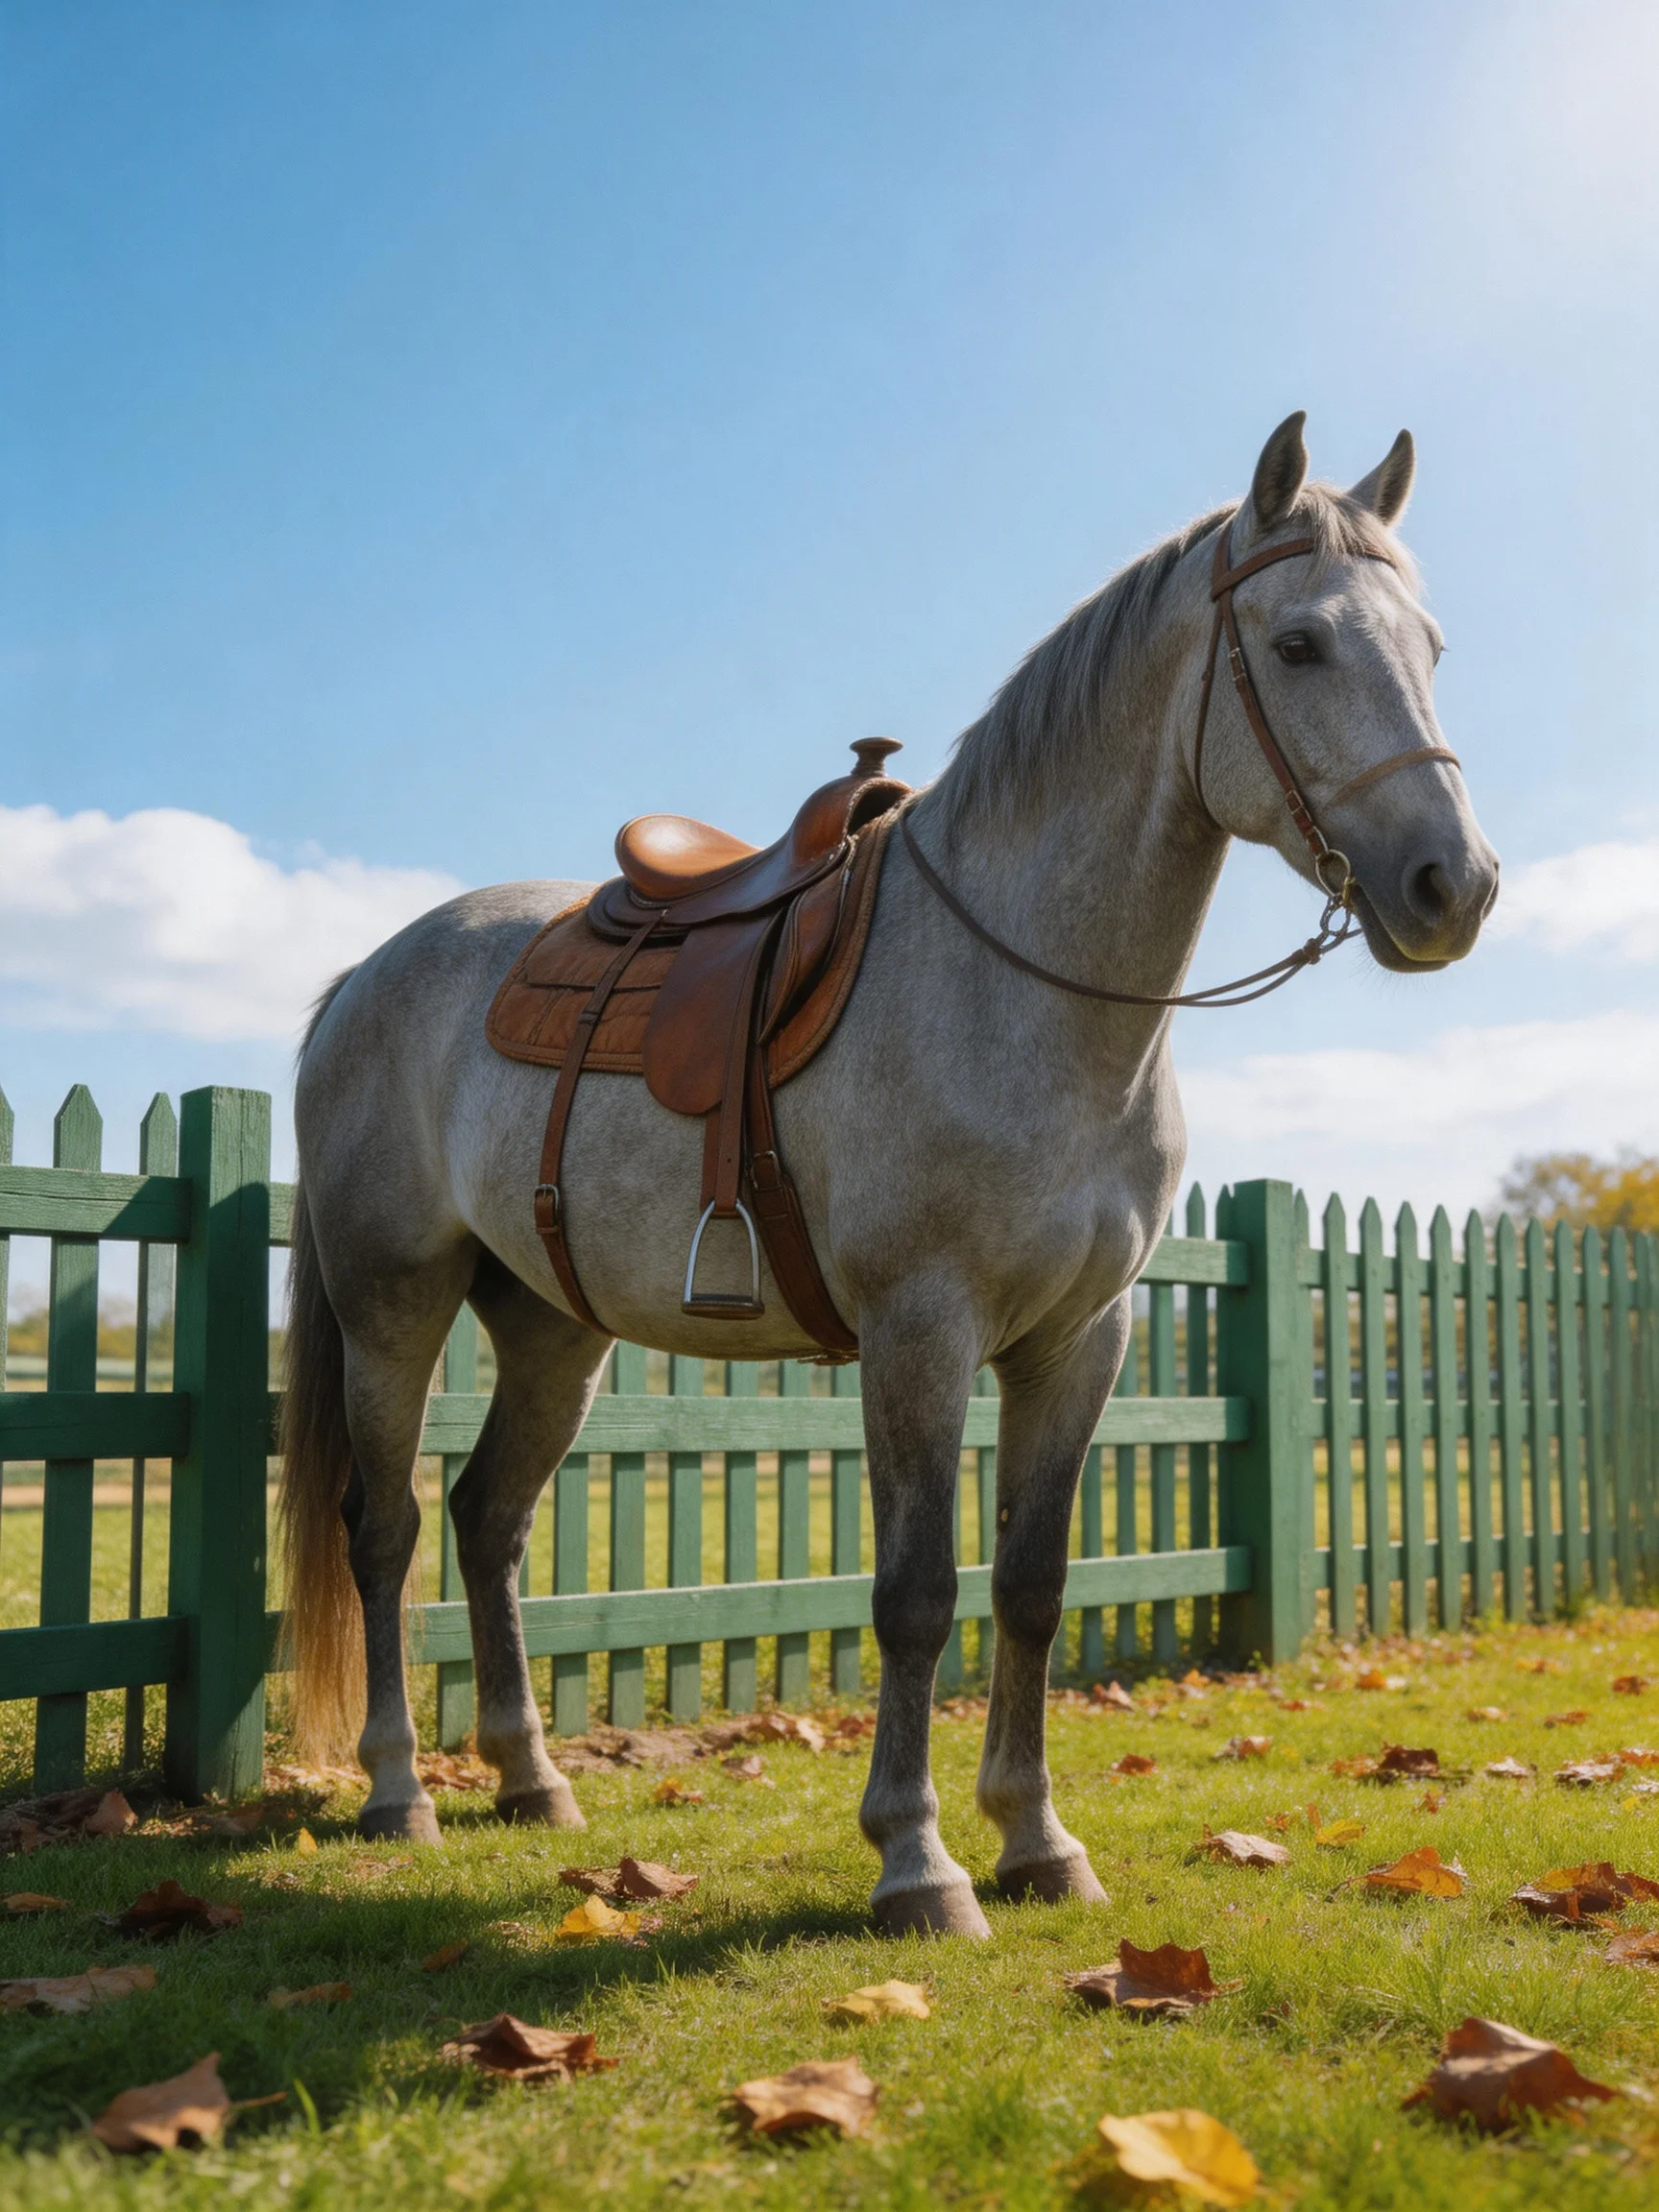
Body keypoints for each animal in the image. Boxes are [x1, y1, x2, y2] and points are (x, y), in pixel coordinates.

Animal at [279, 413, 1498, 1938]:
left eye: (1435, 645)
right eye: (1298, 645)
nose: (1456, 886)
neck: (1020, 985)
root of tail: (364, 976)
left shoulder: (1079, 1340)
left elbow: (1030, 1585)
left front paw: (1036, 1840)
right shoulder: (921, 1331)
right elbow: (917, 1593)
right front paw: (918, 1862)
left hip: (553, 1330)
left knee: (487, 1523)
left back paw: (530, 1778)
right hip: (393, 1303)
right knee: (384, 1530)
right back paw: (402, 1792)